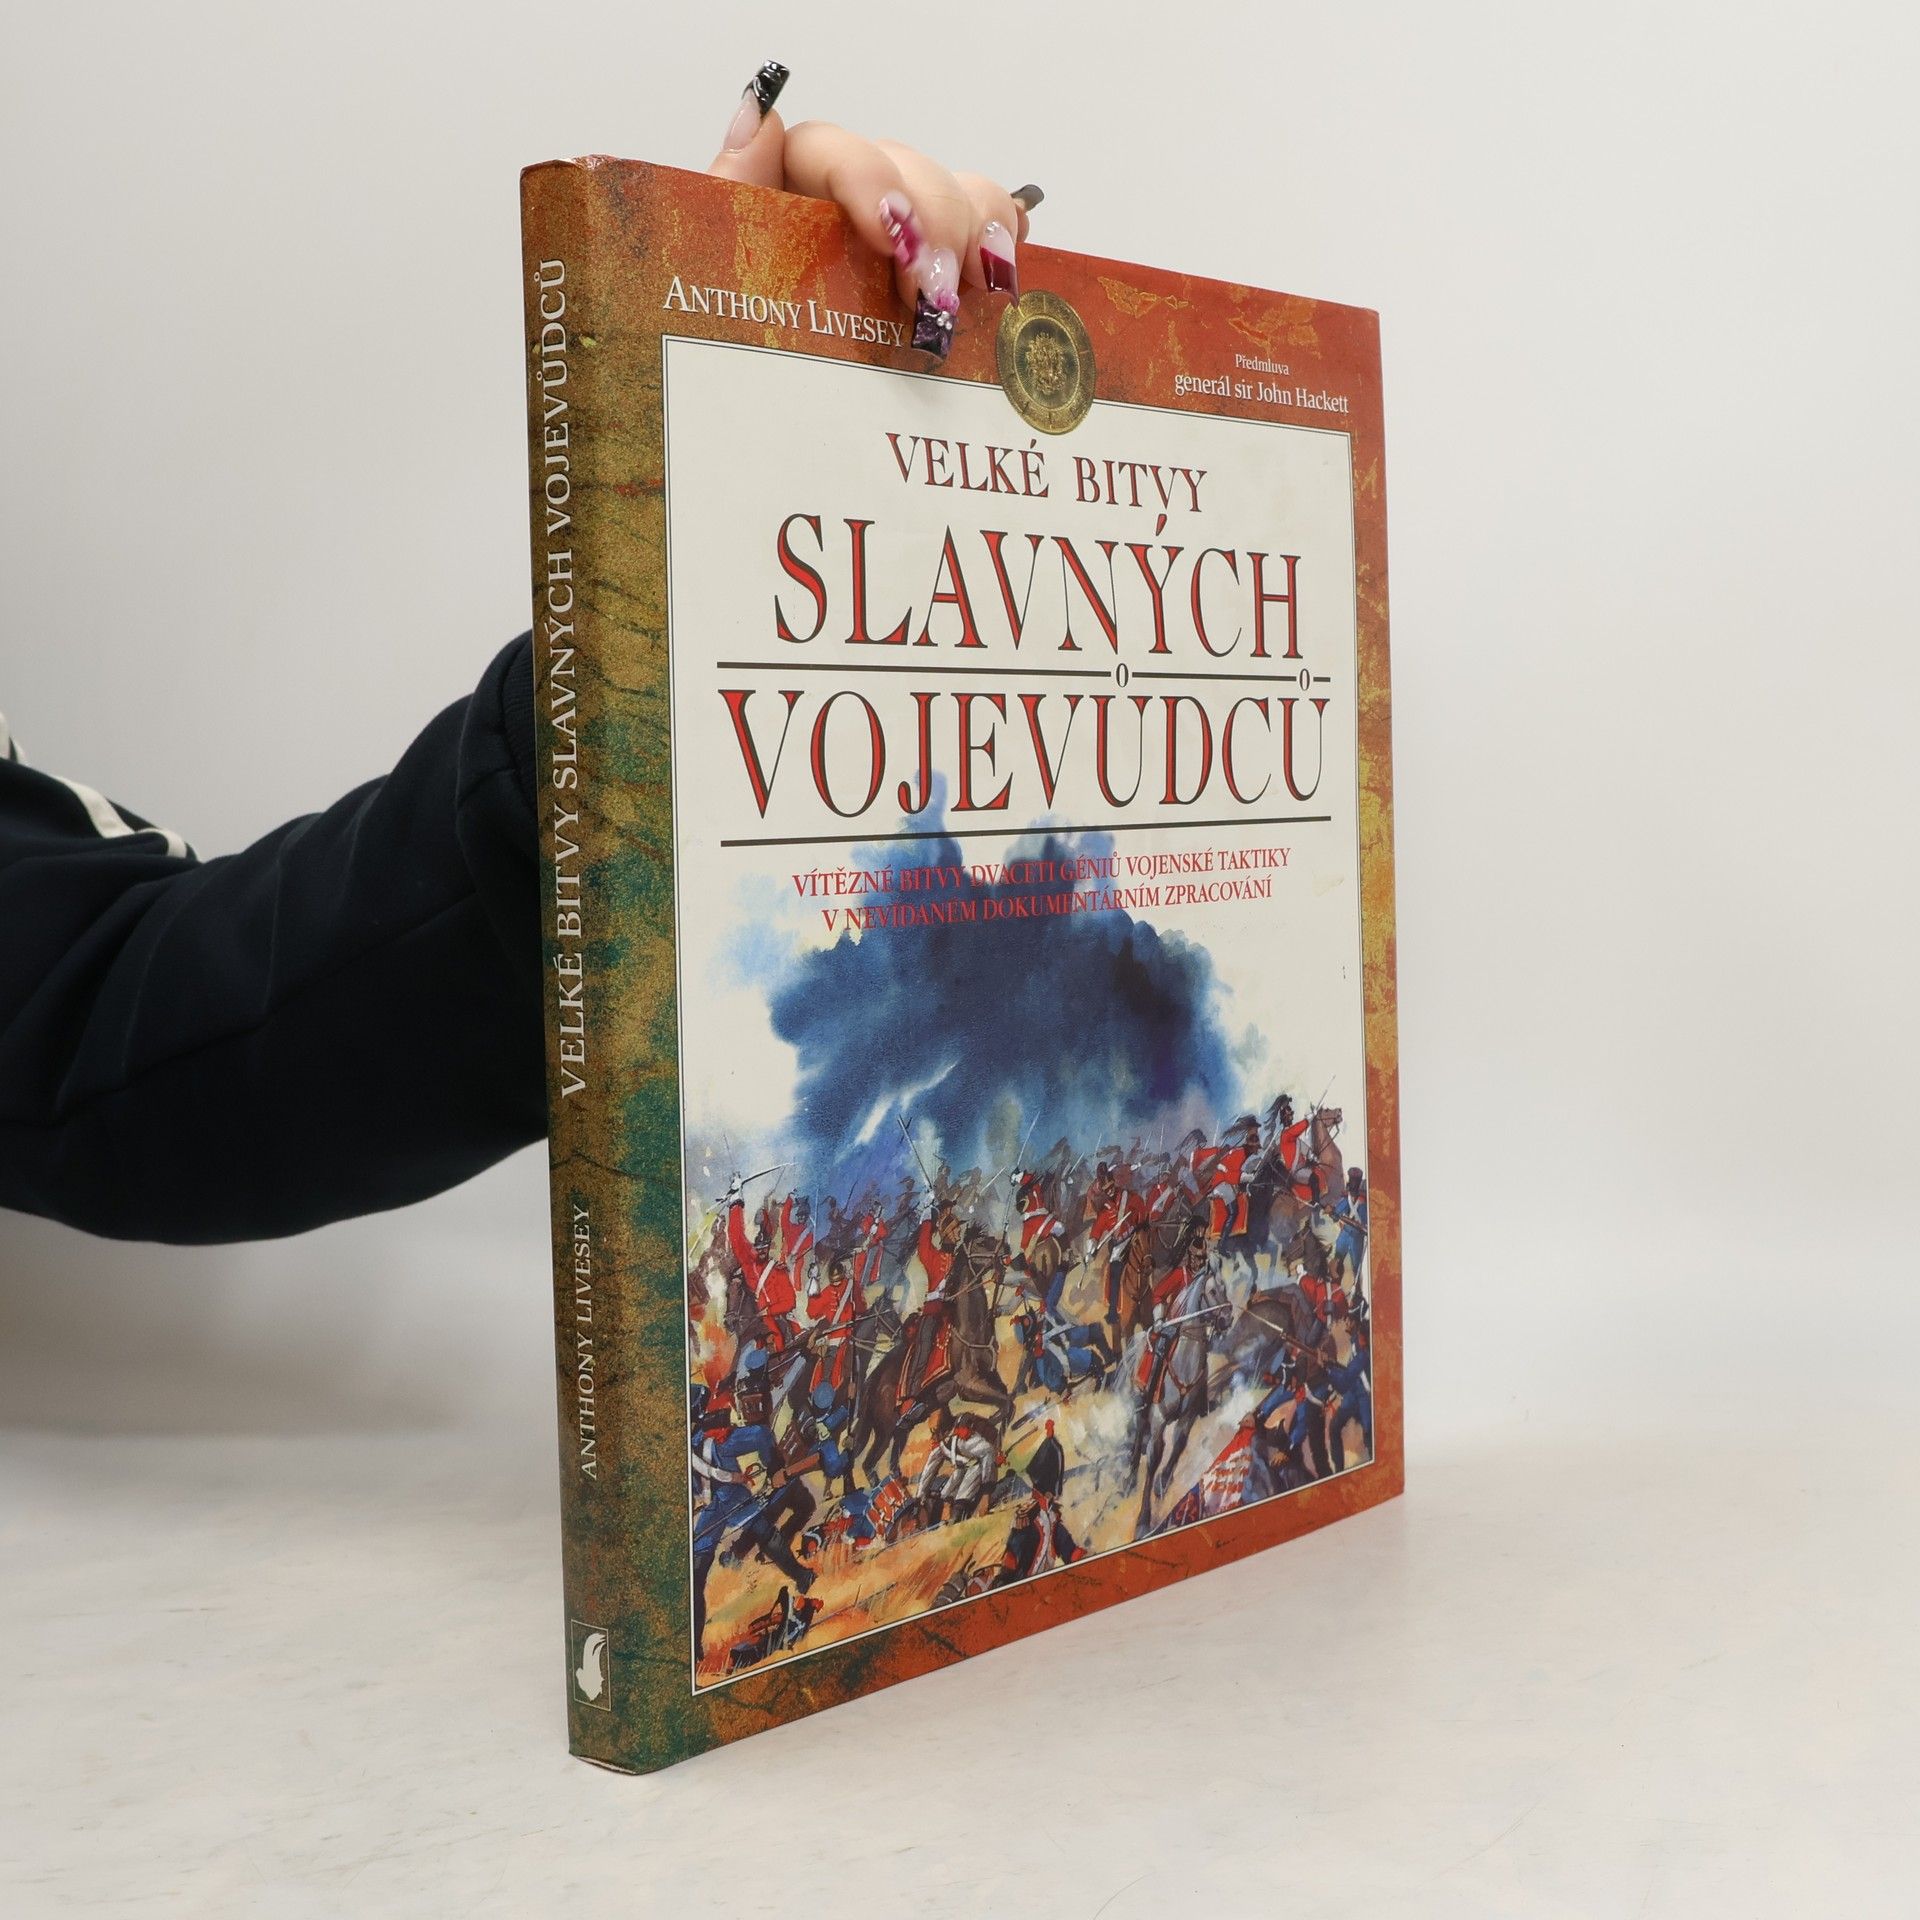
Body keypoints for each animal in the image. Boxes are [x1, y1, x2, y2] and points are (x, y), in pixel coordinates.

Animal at [848, 1228, 1016, 1485]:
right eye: (980, 1241)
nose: (1006, 1247)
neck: (969, 1326)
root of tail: (869, 1383)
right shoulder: (969, 1386)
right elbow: (1001, 1407)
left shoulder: (990, 1376)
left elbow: (1009, 1403)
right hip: (884, 1430)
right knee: (869, 1463)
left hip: (900, 1430)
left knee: (893, 1466)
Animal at [1133, 1260, 1233, 1539]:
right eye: (1211, 1291)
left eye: (1225, 1287)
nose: (1227, 1318)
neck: (1184, 1362)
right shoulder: (1158, 1420)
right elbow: (1153, 1458)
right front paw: (1143, 1520)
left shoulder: (1187, 1416)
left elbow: (1178, 1444)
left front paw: (1163, 1482)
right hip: (1141, 1407)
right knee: (1138, 1436)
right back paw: (1129, 1476)